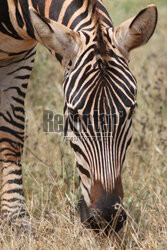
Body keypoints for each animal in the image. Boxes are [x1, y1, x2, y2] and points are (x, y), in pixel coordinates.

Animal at [0, 0, 157, 234]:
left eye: (131, 111)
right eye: (74, 115)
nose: (107, 218)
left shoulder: (20, 57)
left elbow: (12, 136)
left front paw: (14, 217)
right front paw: (14, 217)